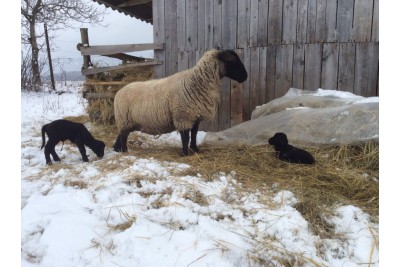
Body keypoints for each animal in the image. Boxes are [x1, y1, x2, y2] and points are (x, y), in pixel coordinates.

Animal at [112, 49, 247, 156]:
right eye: (233, 61)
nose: (245, 76)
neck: (196, 82)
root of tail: (119, 92)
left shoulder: (194, 117)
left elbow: (194, 134)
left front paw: (195, 150)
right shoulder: (182, 116)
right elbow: (185, 137)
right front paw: (185, 153)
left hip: (125, 121)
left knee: (120, 133)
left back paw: (117, 149)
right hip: (124, 118)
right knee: (123, 136)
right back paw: (125, 151)